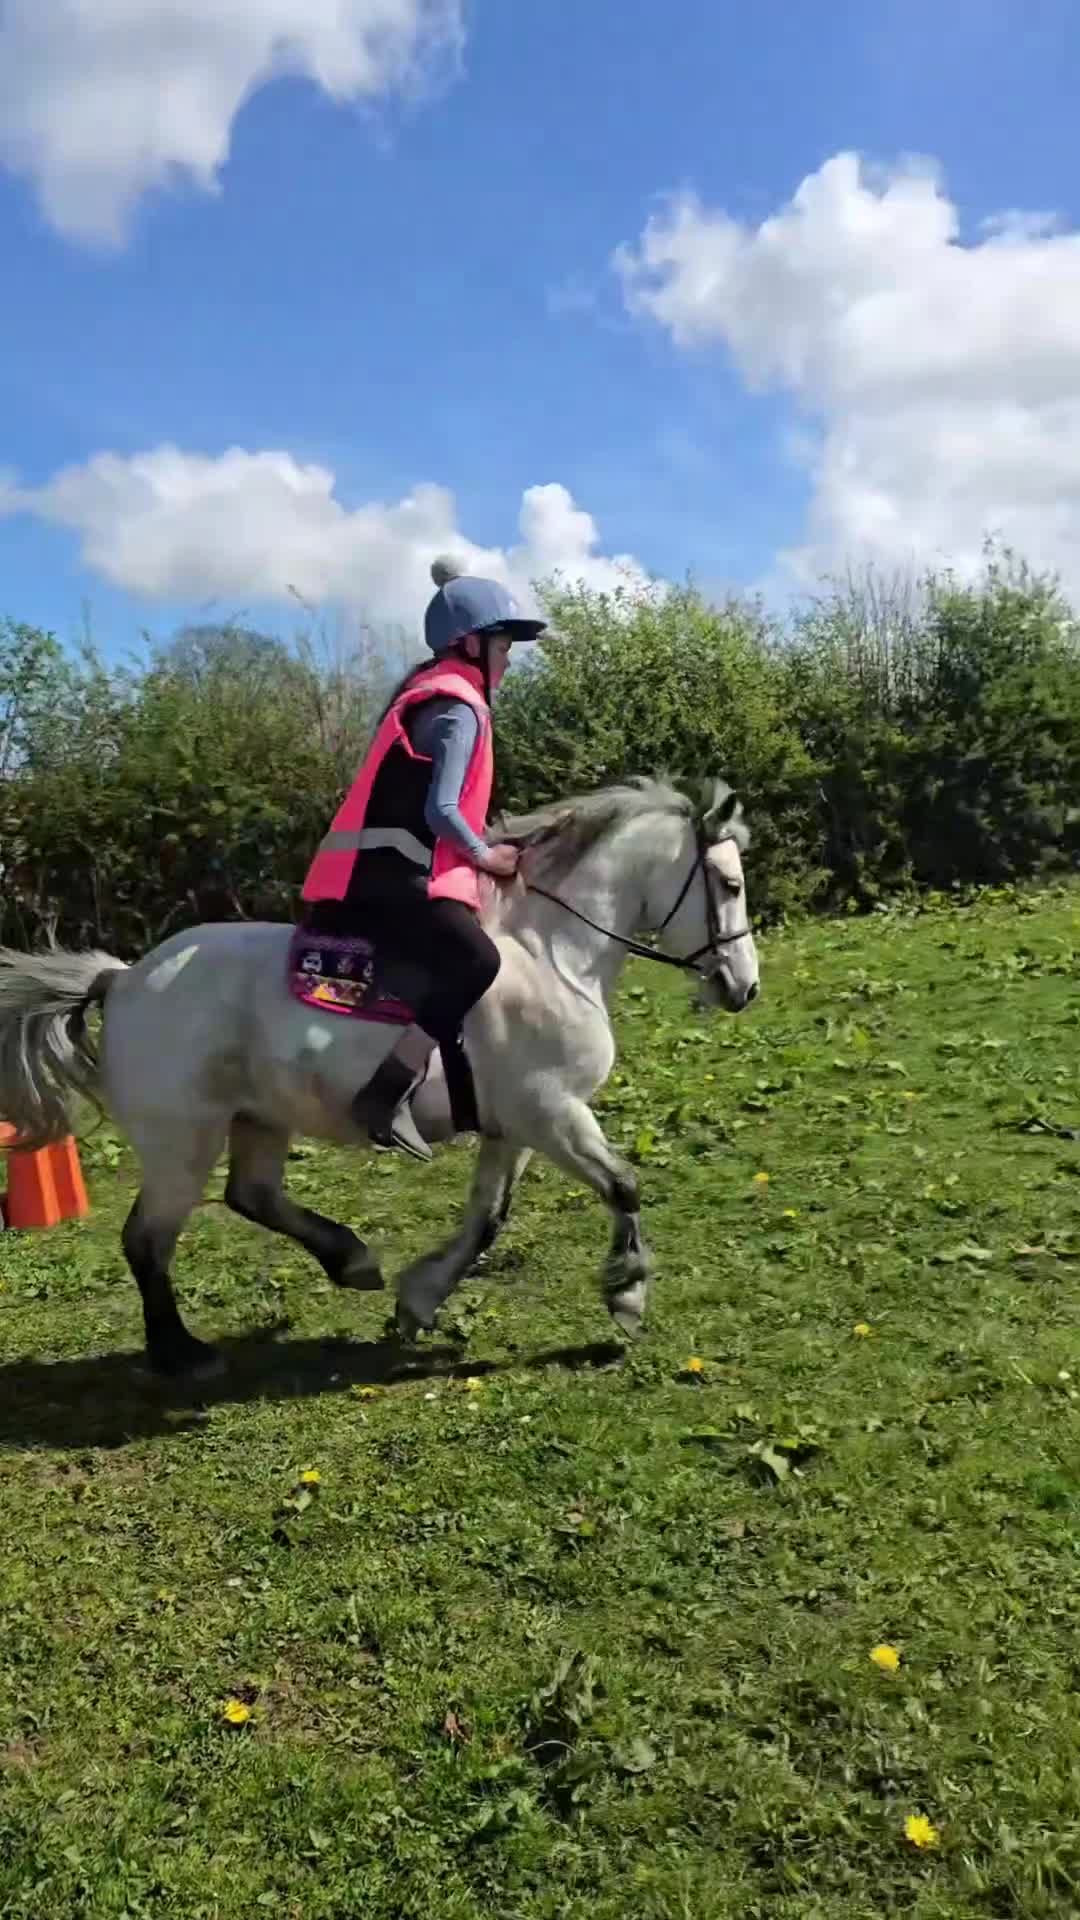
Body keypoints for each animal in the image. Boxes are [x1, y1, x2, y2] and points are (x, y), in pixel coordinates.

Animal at [0, 776, 759, 1381]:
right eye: (729, 885)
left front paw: (418, 1300)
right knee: (147, 1240)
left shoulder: (516, 1126)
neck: (551, 955)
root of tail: (125, 978)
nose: (744, 988)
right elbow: (623, 1185)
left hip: (260, 1118)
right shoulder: (553, 1113)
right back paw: (181, 1353)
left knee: (252, 1195)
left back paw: (351, 1261)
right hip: (181, 1142)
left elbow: (488, 1218)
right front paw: (627, 1296)